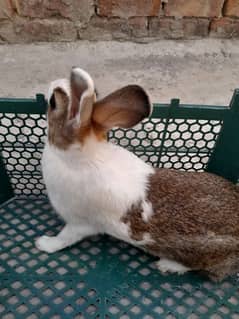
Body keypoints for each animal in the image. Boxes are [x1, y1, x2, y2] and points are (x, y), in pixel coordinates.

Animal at [35, 67, 239, 282]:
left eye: (53, 102)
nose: (53, 83)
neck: (83, 156)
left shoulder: (79, 223)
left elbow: (64, 238)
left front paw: (43, 243)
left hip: (202, 254)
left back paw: (167, 265)